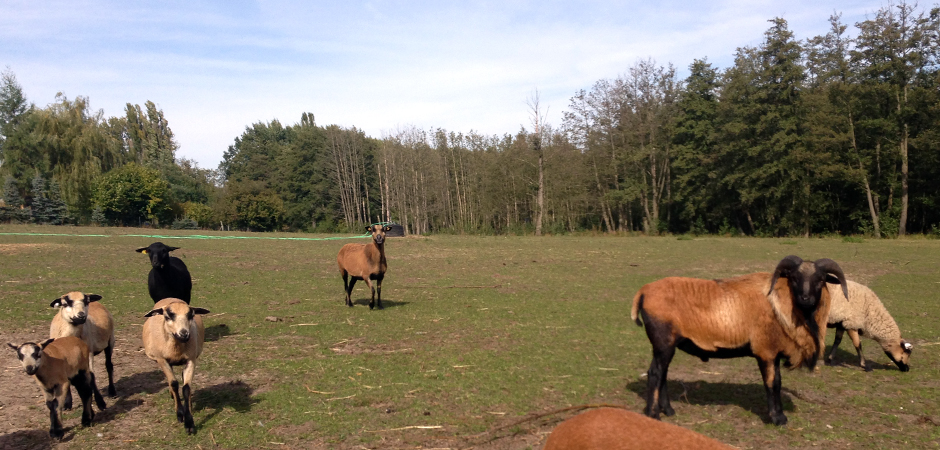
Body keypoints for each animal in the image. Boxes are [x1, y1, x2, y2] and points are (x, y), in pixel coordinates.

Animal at [142, 297, 210, 435]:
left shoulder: (191, 360)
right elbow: (174, 384)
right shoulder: (162, 360)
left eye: (191, 315)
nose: (184, 334)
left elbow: (186, 388)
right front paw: (179, 414)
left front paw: (189, 422)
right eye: (167, 316)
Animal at [630, 255, 848, 426]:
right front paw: (777, 418)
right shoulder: (765, 351)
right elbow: (772, 383)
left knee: (662, 374)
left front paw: (779, 416)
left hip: (665, 345)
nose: (805, 298)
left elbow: (776, 382)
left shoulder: (774, 352)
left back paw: (668, 410)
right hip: (663, 341)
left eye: (820, 279)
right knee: (655, 373)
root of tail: (643, 292)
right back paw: (654, 415)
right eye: (794, 278)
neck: (781, 303)